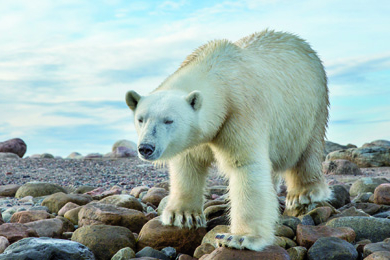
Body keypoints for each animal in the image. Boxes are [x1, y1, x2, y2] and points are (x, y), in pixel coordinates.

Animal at [126, 29, 330, 251]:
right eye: (140, 119)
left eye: (169, 120)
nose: (146, 148)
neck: (219, 73)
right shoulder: (199, 136)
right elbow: (188, 163)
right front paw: (183, 215)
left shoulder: (241, 112)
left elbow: (246, 165)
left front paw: (240, 237)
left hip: (311, 109)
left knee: (308, 151)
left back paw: (303, 194)